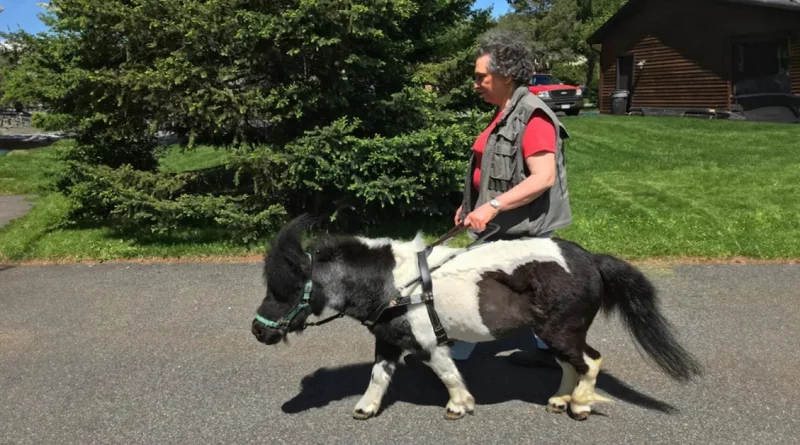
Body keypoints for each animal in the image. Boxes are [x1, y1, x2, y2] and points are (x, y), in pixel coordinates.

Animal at [252, 215, 700, 420]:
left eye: (285, 289)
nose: (258, 330)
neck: (398, 286)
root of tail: (589, 259)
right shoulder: (389, 340)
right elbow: (378, 375)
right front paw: (366, 407)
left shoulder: (429, 343)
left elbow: (447, 374)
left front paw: (459, 405)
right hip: (555, 333)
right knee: (570, 365)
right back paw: (560, 398)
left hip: (562, 330)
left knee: (590, 361)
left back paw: (580, 404)